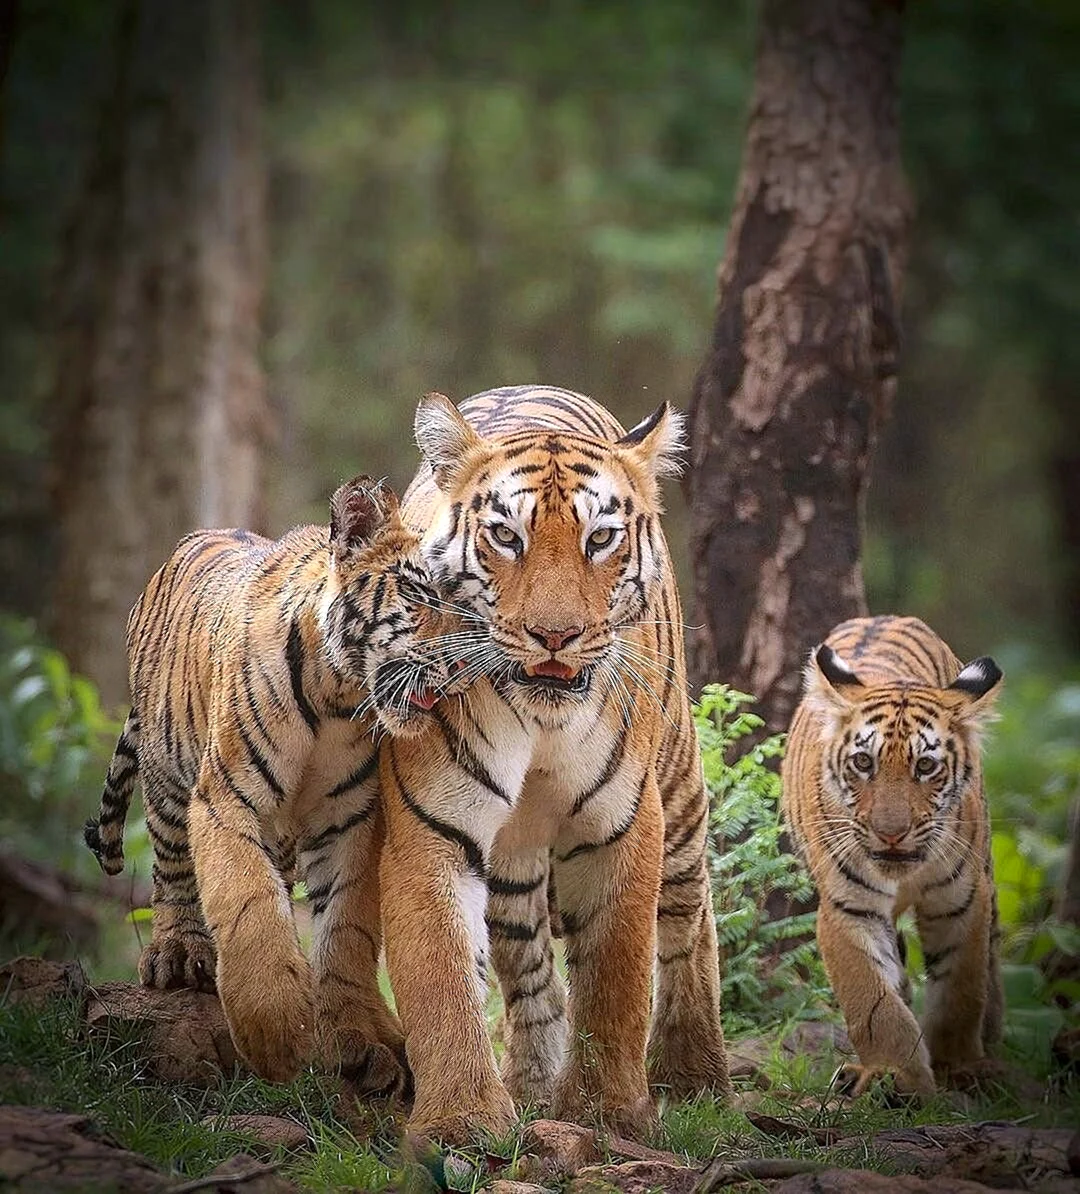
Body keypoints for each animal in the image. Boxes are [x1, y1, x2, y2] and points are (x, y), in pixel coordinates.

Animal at [84, 476, 462, 1089]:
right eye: (421, 595)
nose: (463, 671)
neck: (338, 697)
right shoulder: (227, 800)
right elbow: (248, 904)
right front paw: (276, 1033)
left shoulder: (349, 819)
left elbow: (346, 928)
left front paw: (361, 1038)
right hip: (166, 775)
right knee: (172, 868)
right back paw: (178, 953)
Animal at [375, 385, 730, 1143]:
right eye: (507, 536)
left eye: (600, 539)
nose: (555, 635)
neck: (540, 718)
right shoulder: (430, 831)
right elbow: (441, 978)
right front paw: (463, 1120)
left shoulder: (622, 826)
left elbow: (617, 975)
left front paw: (606, 1111)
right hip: (511, 864)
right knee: (527, 964)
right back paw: (533, 1084)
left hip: (682, 793)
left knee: (689, 920)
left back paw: (695, 1075)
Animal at [781, 614, 1004, 1098]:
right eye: (864, 763)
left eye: (926, 766)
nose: (891, 834)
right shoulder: (849, 908)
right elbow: (873, 1001)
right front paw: (896, 1077)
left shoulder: (961, 901)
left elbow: (961, 988)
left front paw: (959, 1067)